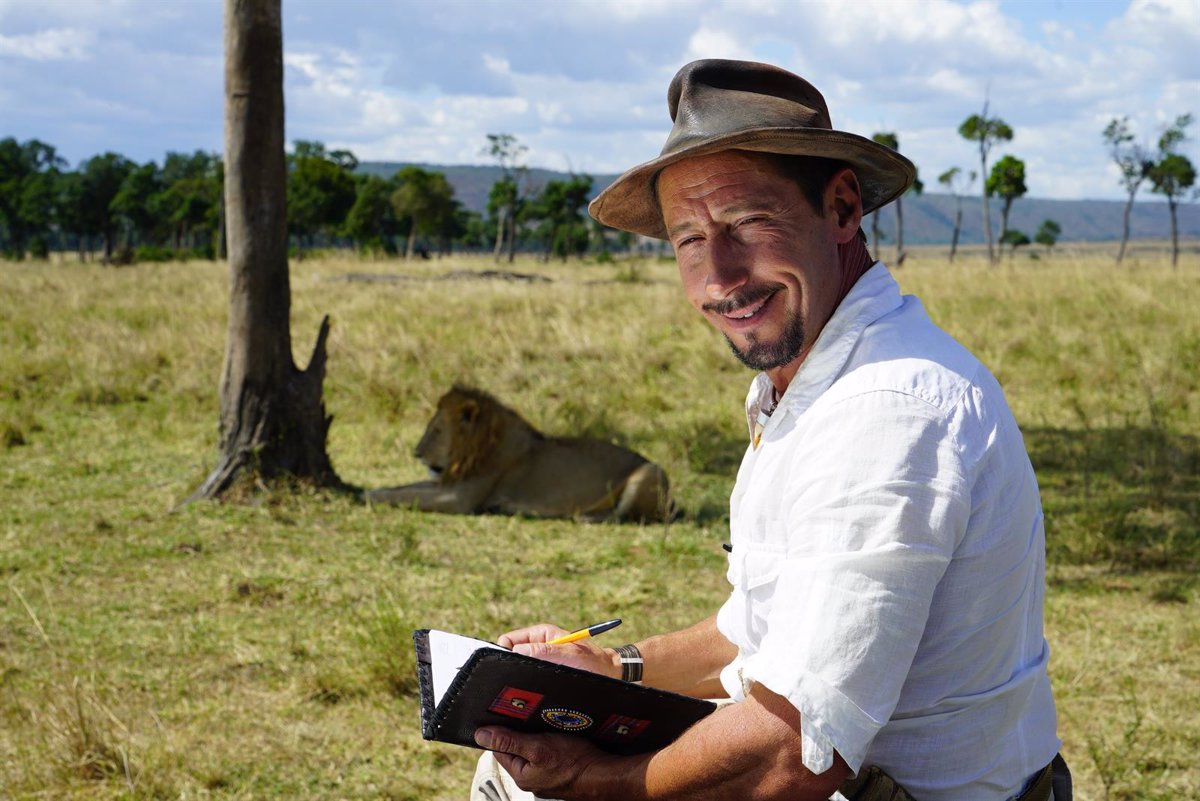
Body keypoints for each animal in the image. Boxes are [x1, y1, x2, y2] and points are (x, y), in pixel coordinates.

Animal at [360, 388, 672, 525]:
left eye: (436, 431)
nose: (417, 453)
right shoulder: (447, 483)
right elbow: (403, 488)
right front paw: (367, 489)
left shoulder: (459, 499)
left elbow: (407, 495)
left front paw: (365, 496)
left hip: (650, 471)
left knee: (624, 516)